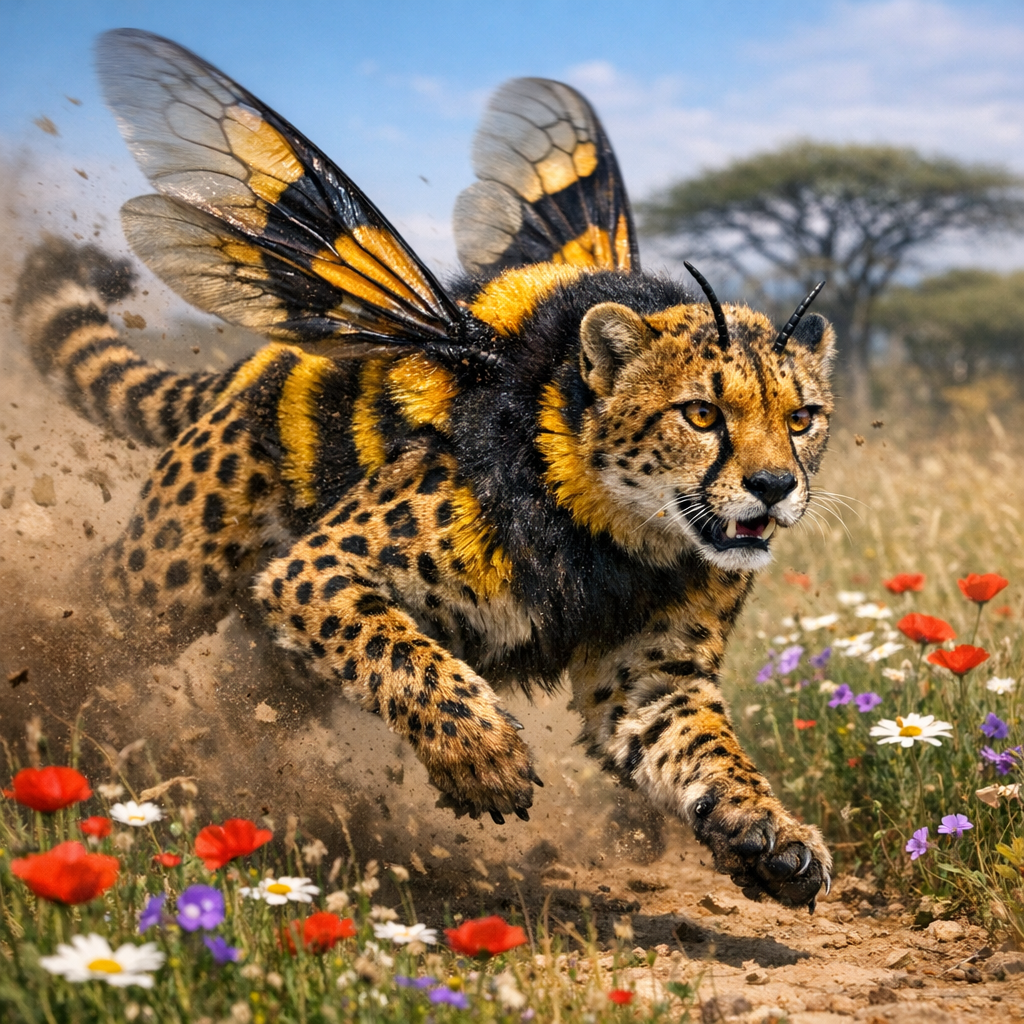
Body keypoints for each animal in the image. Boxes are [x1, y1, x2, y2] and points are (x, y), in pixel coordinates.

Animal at [13, 29, 834, 910]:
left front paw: (770, 833)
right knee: (98, 621)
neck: (613, 523)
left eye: (802, 419)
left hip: (272, 662)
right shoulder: (314, 574)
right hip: (171, 577)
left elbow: (706, 749)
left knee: (243, 696)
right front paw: (481, 755)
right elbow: (404, 655)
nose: (775, 488)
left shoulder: (651, 675)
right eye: (702, 415)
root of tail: (248, 366)